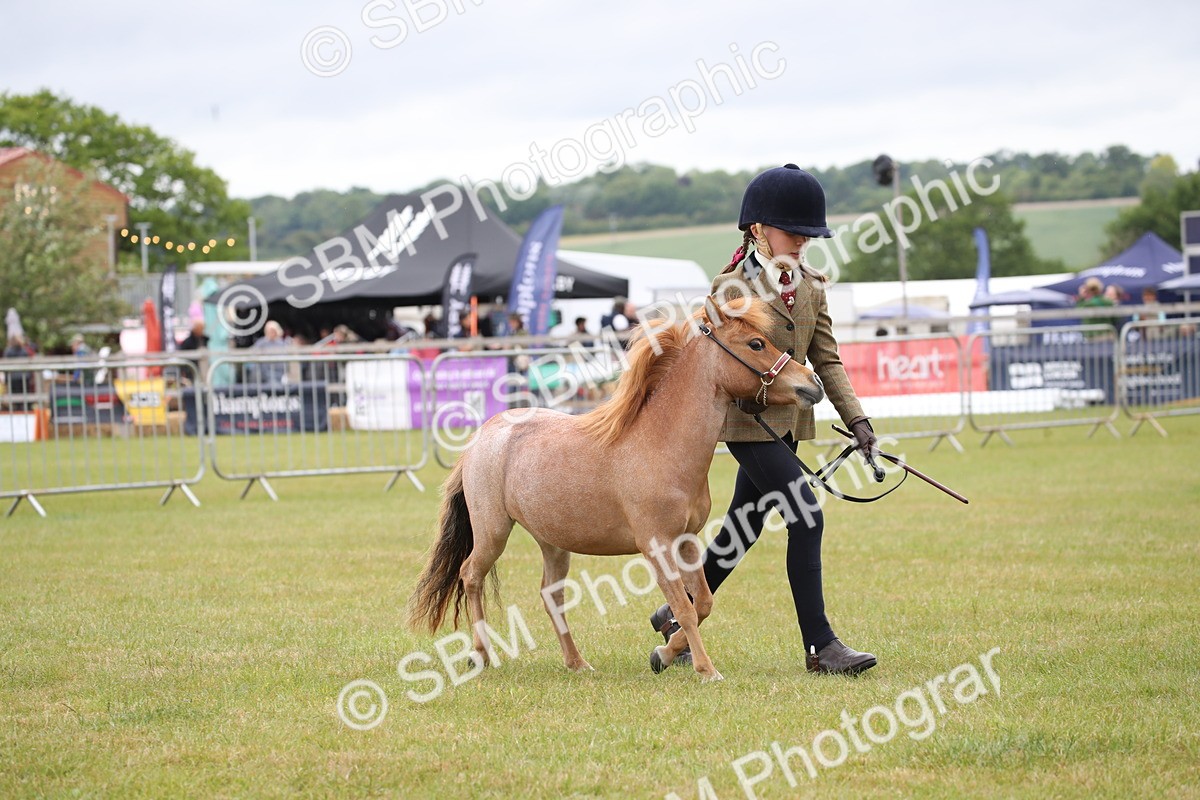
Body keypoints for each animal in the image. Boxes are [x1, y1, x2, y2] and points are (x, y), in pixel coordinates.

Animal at [407, 296, 825, 682]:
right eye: (756, 344)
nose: (813, 385)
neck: (660, 443)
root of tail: (483, 435)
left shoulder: (686, 540)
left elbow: (702, 603)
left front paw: (665, 654)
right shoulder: (656, 547)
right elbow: (685, 608)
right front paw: (706, 669)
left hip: (553, 542)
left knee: (550, 595)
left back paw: (577, 662)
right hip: (493, 531)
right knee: (470, 576)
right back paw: (480, 655)